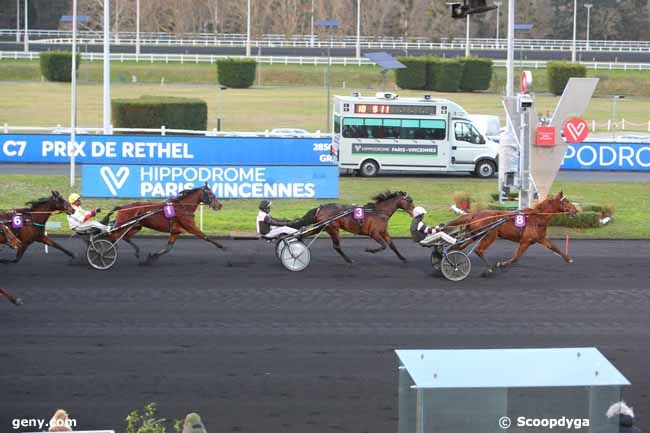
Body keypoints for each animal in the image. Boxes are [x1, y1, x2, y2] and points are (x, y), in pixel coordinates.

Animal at [446, 189, 576, 274]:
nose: (576, 210)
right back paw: (489, 268)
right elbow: (516, 257)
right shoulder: (525, 241)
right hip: (490, 235)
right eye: (567, 201)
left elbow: (554, 247)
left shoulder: (540, 238)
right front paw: (502, 264)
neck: (537, 218)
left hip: (475, 235)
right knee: (479, 250)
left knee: (459, 247)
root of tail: (476, 214)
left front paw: (568, 259)